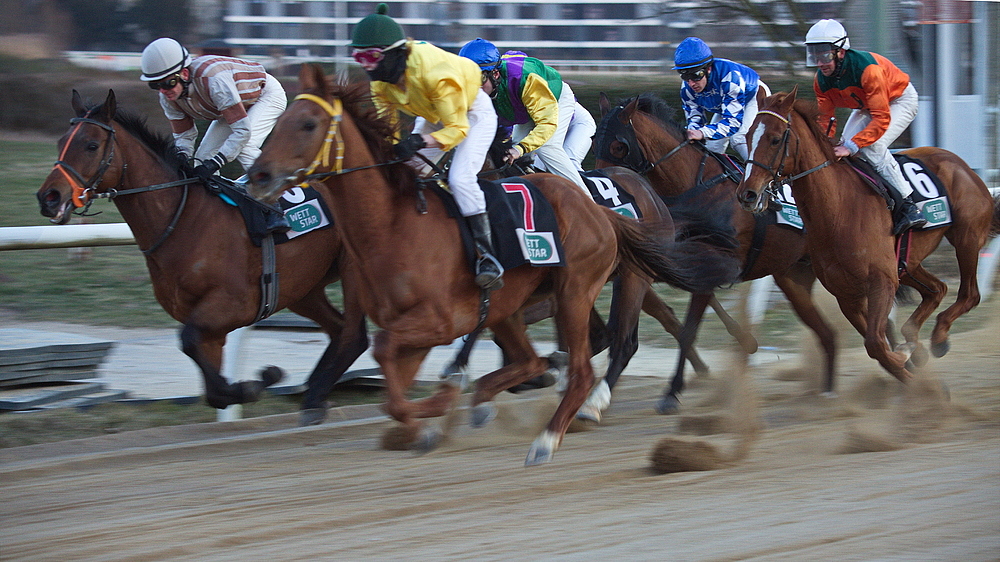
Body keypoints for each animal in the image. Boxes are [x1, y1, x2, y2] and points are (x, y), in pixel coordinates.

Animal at [35, 88, 374, 420]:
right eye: (61, 143)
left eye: (91, 145)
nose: (48, 197)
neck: (185, 218)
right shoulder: (209, 323)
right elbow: (210, 388)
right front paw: (246, 387)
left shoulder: (233, 305)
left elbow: (187, 340)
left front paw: (257, 382)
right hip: (304, 287)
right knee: (339, 330)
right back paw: (315, 395)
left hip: (351, 270)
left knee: (354, 335)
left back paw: (315, 395)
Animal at [245, 63, 740, 464]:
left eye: (308, 124)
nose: (259, 176)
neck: (395, 223)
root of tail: (621, 205)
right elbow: (396, 381)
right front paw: (436, 412)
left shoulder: (443, 317)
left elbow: (397, 356)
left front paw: (446, 397)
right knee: (591, 341)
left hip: (610, 281)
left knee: (619, 344)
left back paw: (574, 415)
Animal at [592, 92, 836, 406]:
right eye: (595, 140)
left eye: (618, 145)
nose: (602, 187)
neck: (695, 189)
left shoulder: (710, 264)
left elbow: (688, 329)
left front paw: (672, 392)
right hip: (796, 273)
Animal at [736, 86, 1000, 380]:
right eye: (747, 136)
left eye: (774, 139)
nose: (747, 194)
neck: (838, 211)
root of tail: (961, 164)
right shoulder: (847, 293)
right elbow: (878, 348)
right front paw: (909, 364)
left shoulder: (881, 282)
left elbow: (876, 343)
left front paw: (909, 365)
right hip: (907, 263)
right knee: (937, 290)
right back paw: (916, 342)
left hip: (966, 238)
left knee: (969, 294)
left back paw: (939, 337)